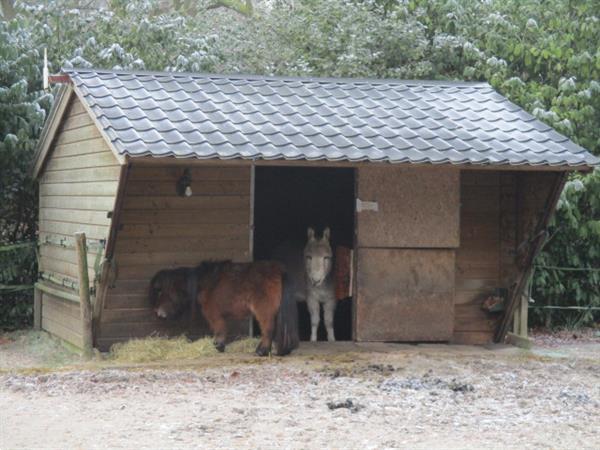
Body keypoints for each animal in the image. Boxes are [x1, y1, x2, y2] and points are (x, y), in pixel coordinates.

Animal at [149, 262, 298, 356]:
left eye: (162, 292)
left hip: (264, 311)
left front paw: (219, 346)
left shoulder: (213, 314)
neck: (203, 283)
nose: (157, 312)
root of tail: (279, 271)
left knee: (268, 330)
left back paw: (261, 351)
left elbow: (219, 330)